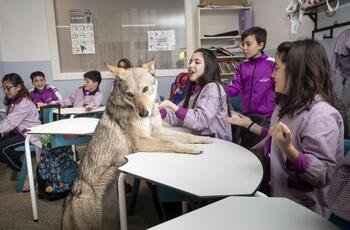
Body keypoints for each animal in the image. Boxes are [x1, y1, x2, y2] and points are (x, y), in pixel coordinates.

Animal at [61, 59, 212, 230]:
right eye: (130, 94)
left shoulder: (157, 132)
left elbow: (185, 135)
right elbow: (172, 142)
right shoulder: (143, 141)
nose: (143, 114)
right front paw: (192, 148)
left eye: (145, 89)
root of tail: (70, 197)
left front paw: (203, 139)